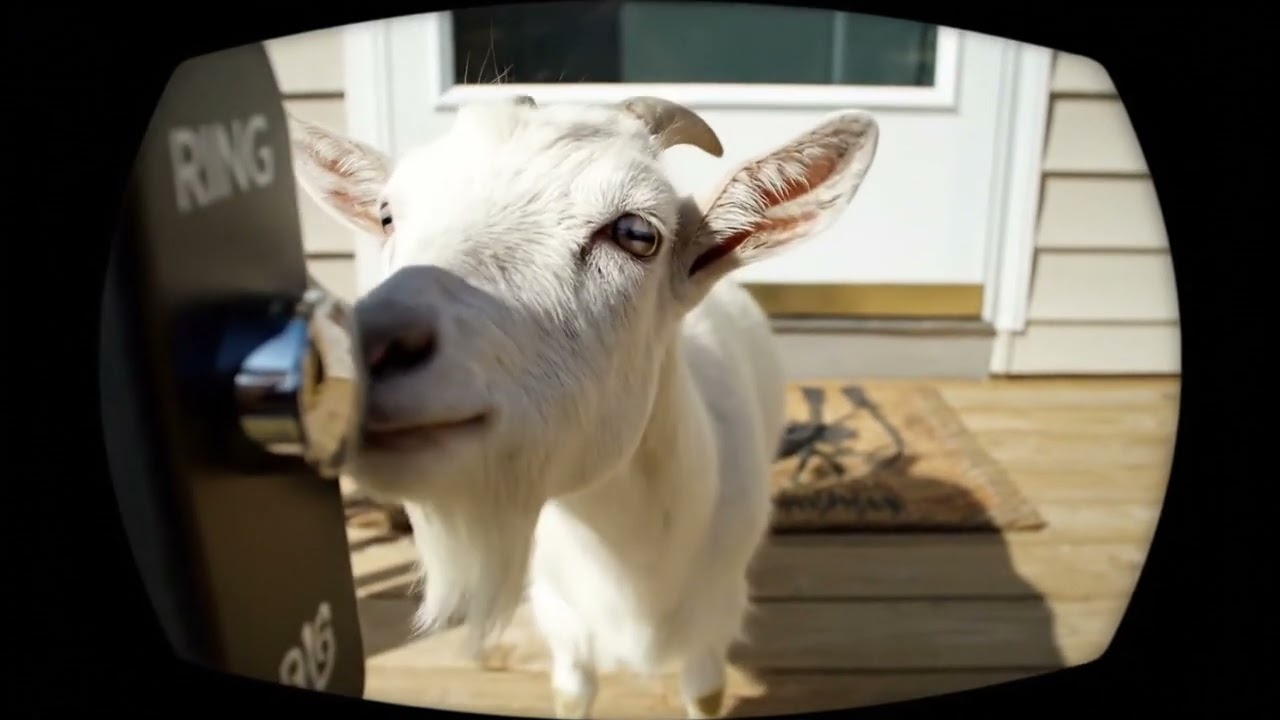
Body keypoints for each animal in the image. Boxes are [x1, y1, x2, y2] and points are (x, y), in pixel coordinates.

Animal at [289, 95, 878, 718]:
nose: (357, 349)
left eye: (636, 232)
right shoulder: (563, 623)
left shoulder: (713, 628)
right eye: (386, 216)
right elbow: (573, 693)